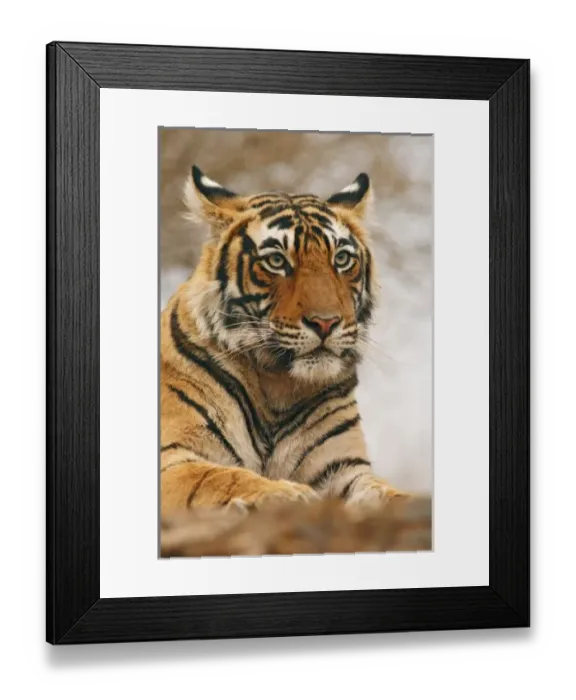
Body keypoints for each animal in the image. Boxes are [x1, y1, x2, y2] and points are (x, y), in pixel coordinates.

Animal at [160, 165, 408, 517]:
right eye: (277, 262)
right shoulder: (173, 454)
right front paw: (285, 493)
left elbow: (384, 491)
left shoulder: (343, 467)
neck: (277, 384)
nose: (325, 322)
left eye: (342, 259)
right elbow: (217, 476)